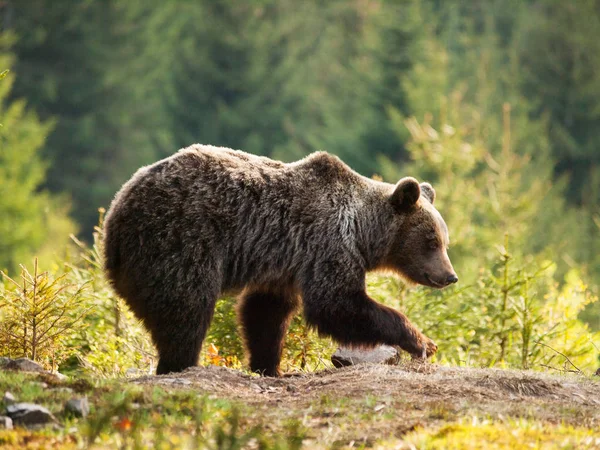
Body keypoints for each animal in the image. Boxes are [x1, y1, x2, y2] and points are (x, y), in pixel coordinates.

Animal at [104, 145, 460, 376]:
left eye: (445, 241)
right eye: (431, 241)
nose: (450, 276)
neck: (362, 231)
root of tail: (116, 211)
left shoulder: (284, 264)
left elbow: (265, 313)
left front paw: (268, 366)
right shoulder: (326, 242)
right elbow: (338, 304)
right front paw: (422, 341)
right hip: (178, 241)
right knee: (186, 309)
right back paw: (180, 364)